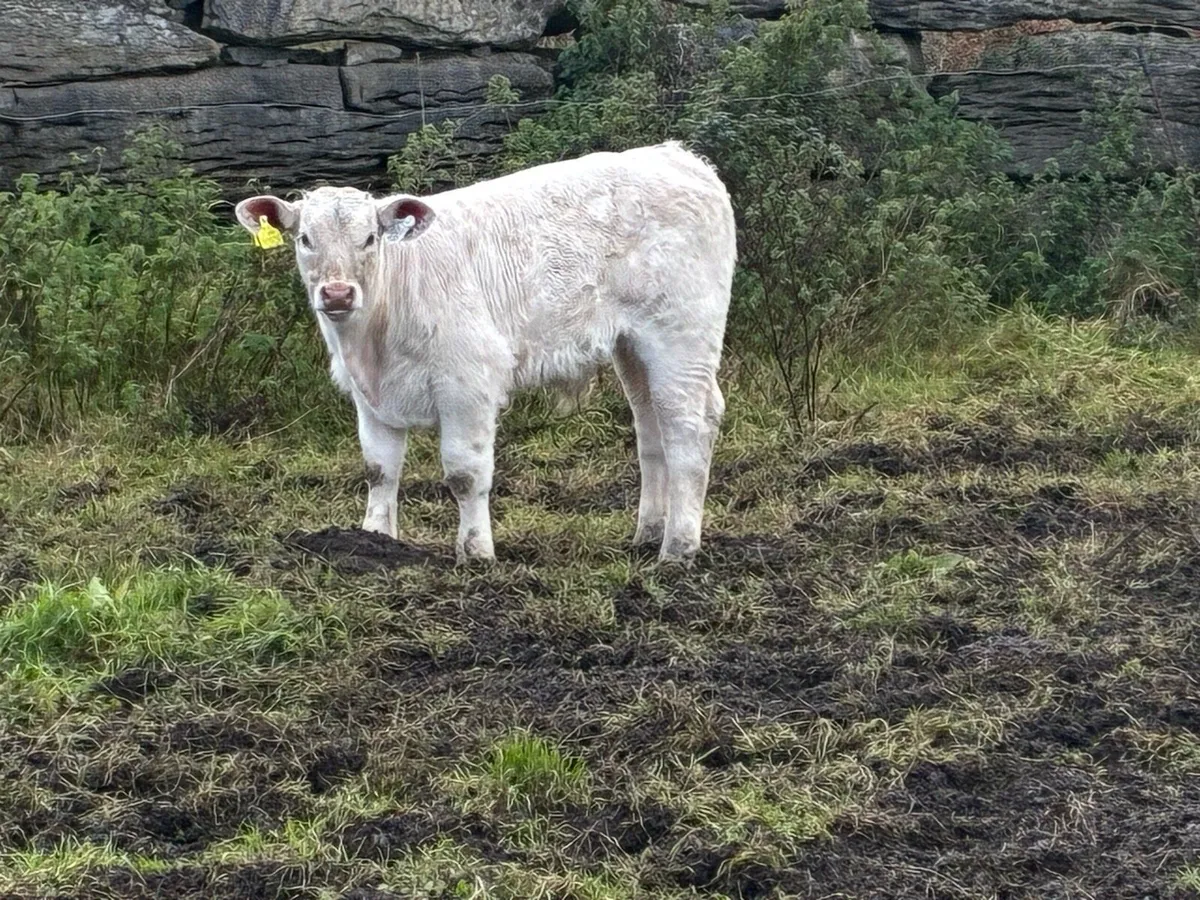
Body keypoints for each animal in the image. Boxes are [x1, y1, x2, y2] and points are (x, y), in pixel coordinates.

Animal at [234, 141, 736, 563]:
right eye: (305, 239)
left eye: (370, 239)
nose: (337, 294)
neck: (373, 340)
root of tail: (676, 156)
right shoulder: (369, 396)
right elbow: (379, 469)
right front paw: (373, 540)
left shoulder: (467, 383)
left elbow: (465, 473)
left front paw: (476, 553)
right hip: (631, 344)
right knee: (651, 427)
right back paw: (648, 534)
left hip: (681, 333)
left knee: (687, 425)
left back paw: (677, 548)